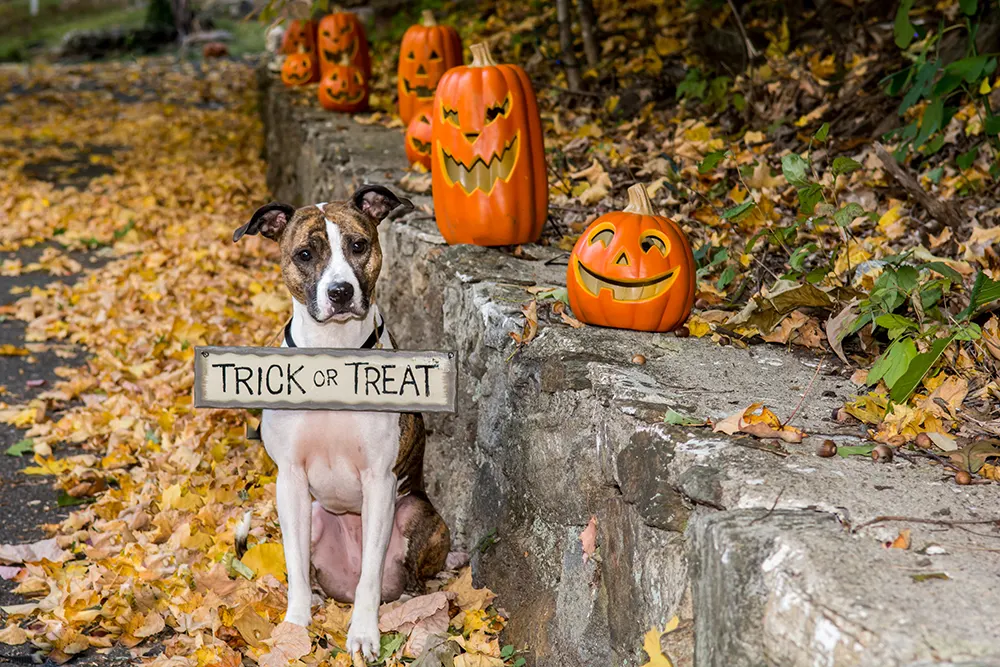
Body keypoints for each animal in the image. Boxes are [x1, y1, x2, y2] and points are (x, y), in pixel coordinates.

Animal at [230, 185, 450, 660]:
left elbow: (370, 574)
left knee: (397, 576)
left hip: (415, 513)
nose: (340, 291)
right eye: (305, 253)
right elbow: (295, 566)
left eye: (358, 245)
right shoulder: (290, 481)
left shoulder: (380, 481)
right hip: (313, 512)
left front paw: (364, 635)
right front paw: (295, 628)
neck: (332, 361)